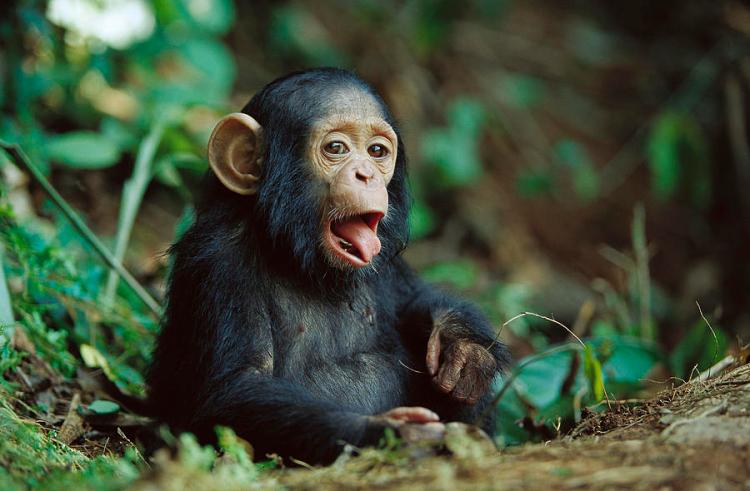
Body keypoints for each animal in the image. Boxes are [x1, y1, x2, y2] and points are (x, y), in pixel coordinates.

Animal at [147, 68, 510, 465]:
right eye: (336, 148)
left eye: (377, 151)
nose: (367, 174)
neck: (299, 259)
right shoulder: (218, 263)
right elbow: (236, 387)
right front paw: (394, 434)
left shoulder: (386, 264)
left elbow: (414, 300)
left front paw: (463, 346)